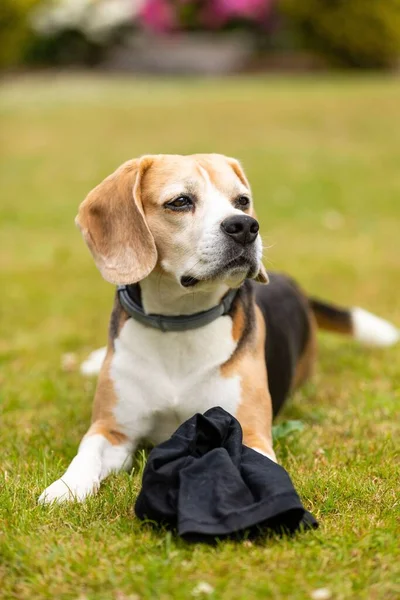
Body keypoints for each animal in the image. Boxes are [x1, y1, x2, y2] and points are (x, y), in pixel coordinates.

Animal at [39, 154, 398, 502]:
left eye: (242, 200)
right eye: (180, 201)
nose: (245, 226)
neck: (180, 322)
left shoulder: (250, 434)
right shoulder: (111, 429)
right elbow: (87, 453)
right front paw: (66, 487)